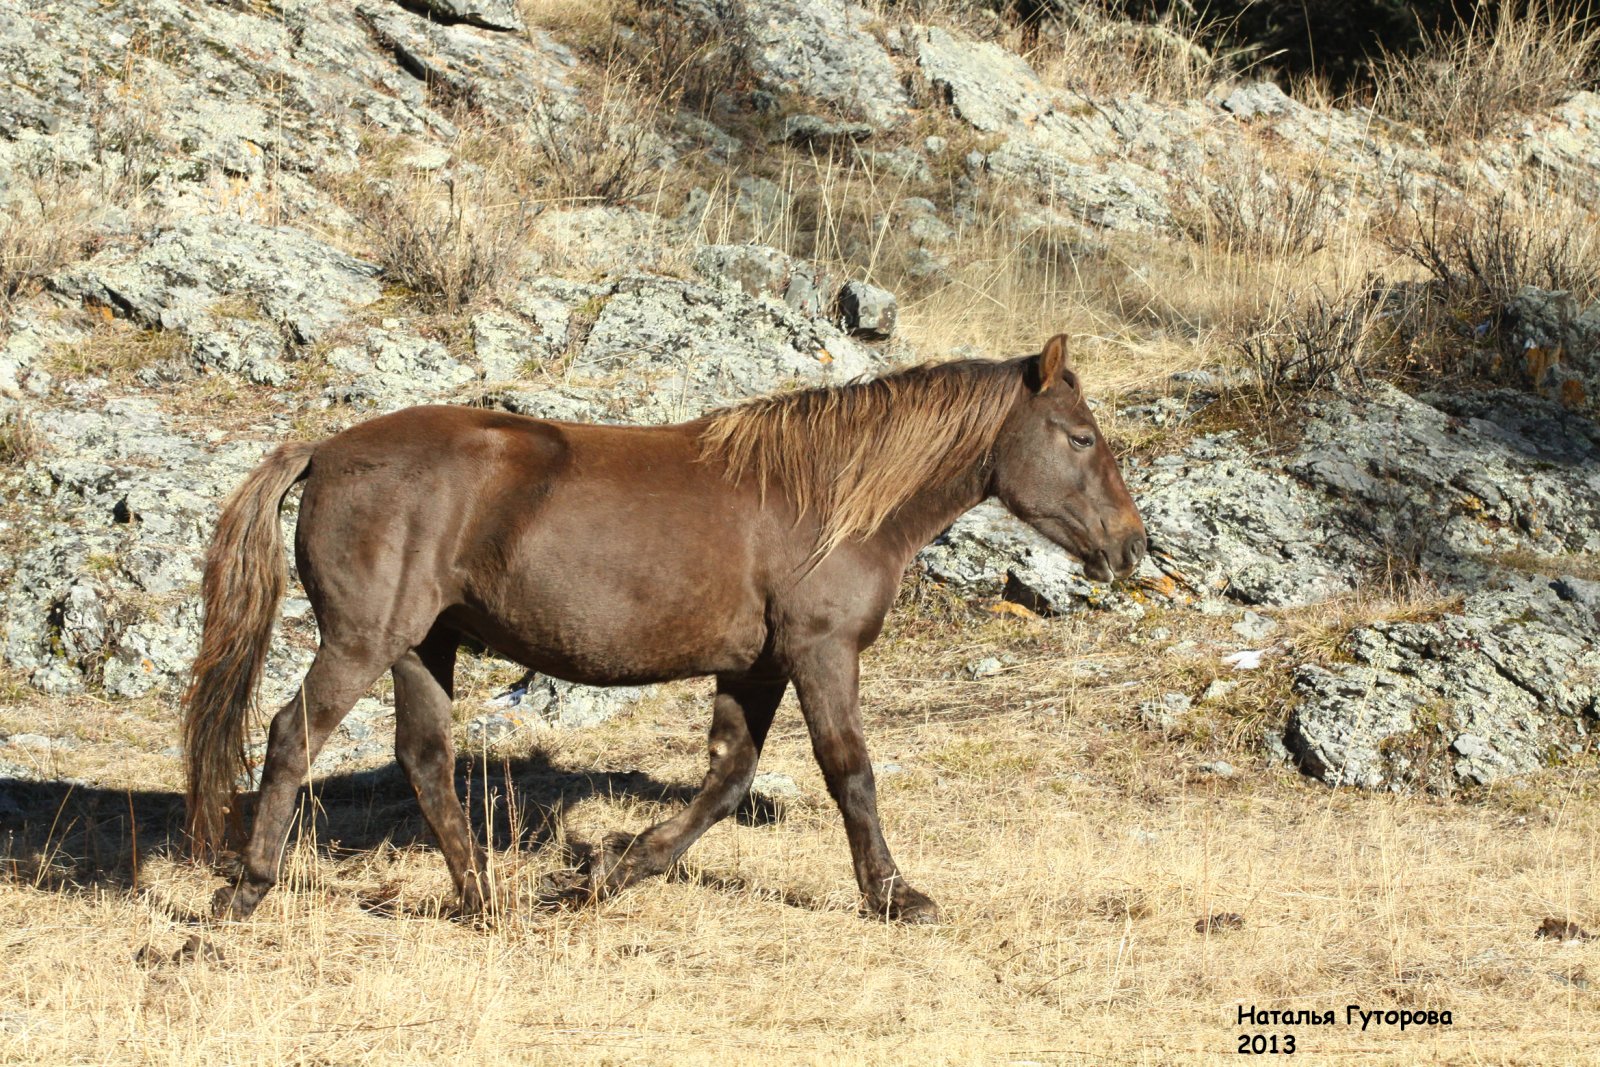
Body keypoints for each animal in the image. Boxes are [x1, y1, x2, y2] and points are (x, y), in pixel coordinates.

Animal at [184, 335, 1139, 927]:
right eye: (1080, 437)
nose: (1131, 546)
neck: (827, 499)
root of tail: (324, 450)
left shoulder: (756, 669)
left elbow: (726, 778)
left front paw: (609, 871)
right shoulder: (821, 652)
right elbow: (851, 775)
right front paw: (896, 896)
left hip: (425, 646)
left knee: (425, 759)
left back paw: (485, 899)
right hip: (364, 641)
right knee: (291, 735)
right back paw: (249, 891)